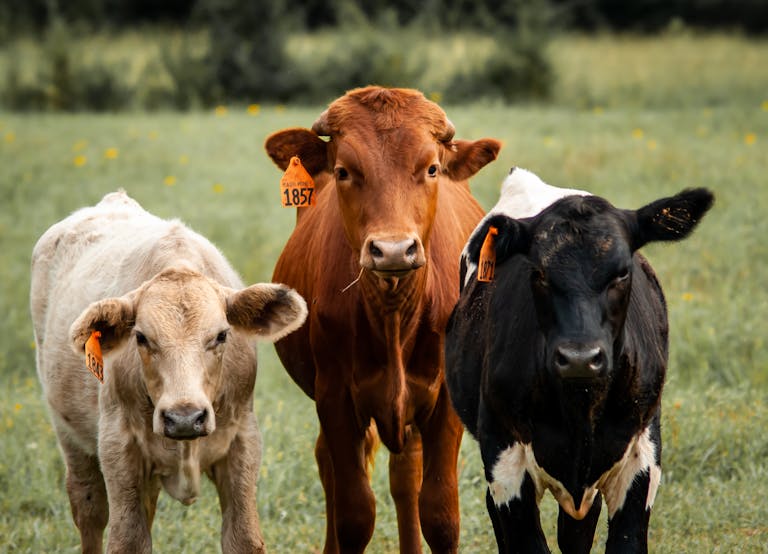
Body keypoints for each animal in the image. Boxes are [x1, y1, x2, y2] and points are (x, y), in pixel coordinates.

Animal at [30, 191, 307, 554]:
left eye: (221, 335)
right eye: (141, 337)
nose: (185, 418)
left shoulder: (243, 442)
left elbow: (243, 537)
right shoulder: (118, 449)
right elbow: (126, 540)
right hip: (71, 440)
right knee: (89, 509)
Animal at [264, 86, 501, 553]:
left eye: (431, 168)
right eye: (343, 171)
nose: (393, 250)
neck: (392, 316)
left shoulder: (444, 401)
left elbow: (440, 514)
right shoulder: (334, 397)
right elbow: (355, 513)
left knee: (405, 475)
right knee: (329, 465)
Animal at [445, 176, 713, 553]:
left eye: (622, 273)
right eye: (539, 272)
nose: (580, 358)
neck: (580, 409)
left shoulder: (642, 457)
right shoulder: (504, 458)